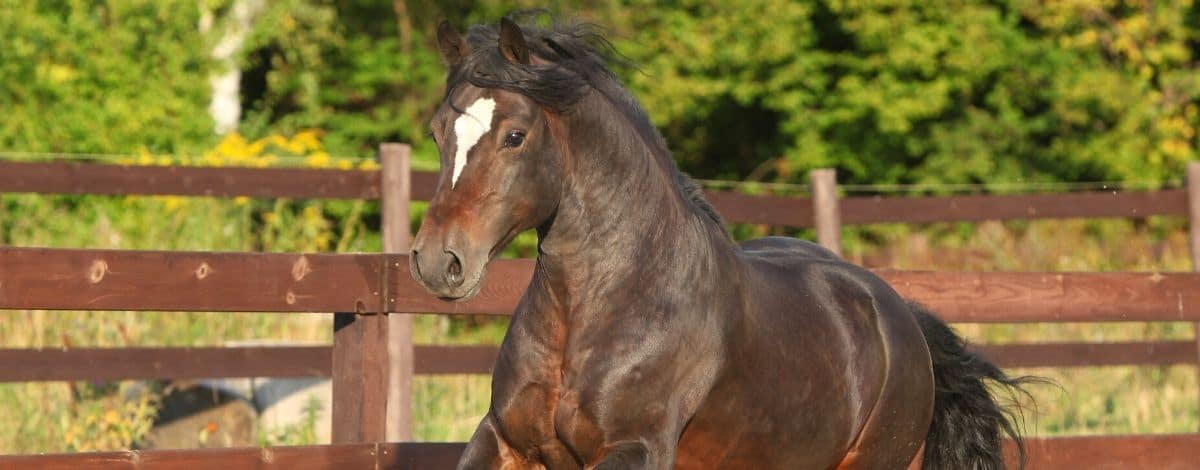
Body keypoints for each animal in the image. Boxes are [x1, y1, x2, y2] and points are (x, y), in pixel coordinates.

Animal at [410, 16, 1032, 467]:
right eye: (438, 133)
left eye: (515, 136)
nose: (438, 261)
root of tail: (900, 314)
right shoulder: (503, 440)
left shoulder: (635, 450)